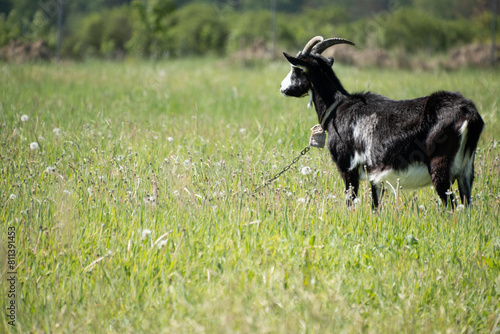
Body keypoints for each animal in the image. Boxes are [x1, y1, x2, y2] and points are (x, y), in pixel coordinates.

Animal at [280, 36, 482, 209]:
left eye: (296, 68)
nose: (282, 88)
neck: (338, 108)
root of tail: (468, 113)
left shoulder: (348, 166)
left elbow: (351, 201)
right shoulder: (375, 174)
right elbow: (376, 205)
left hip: (440, 168)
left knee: (453, 206)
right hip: (466, 171)